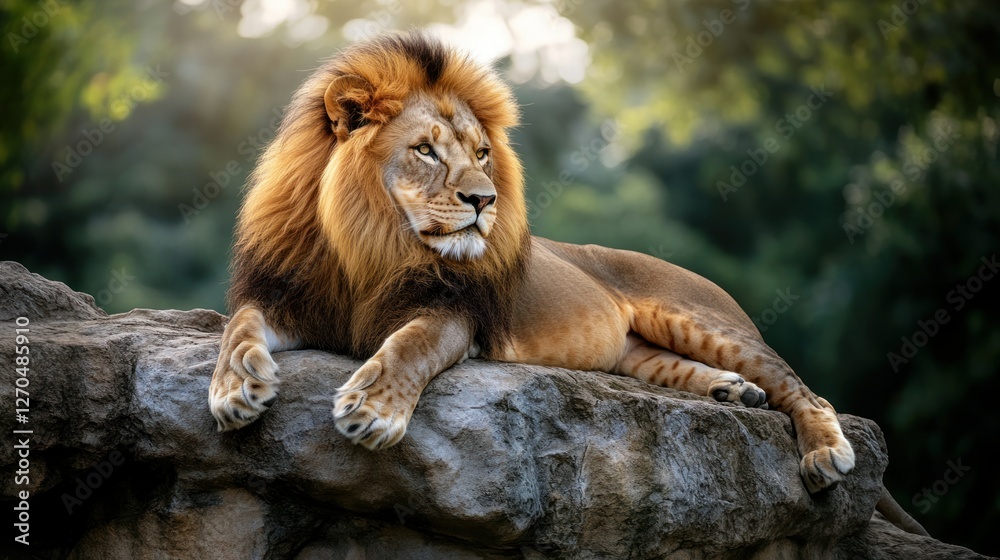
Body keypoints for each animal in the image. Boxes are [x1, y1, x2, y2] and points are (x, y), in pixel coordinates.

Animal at [208, 32, 927, 535]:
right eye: (425, 150)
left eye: (482, 153)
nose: (485, 200)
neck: (369, 244)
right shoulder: (288, 298)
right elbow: (237, 327)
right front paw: (236, 389)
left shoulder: (455, 314)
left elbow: (409, 345)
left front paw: (372, 410)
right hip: (634, 349)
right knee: (680, 369)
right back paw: (733, 393)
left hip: (699, 318)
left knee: (805, 389)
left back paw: (822, 450)